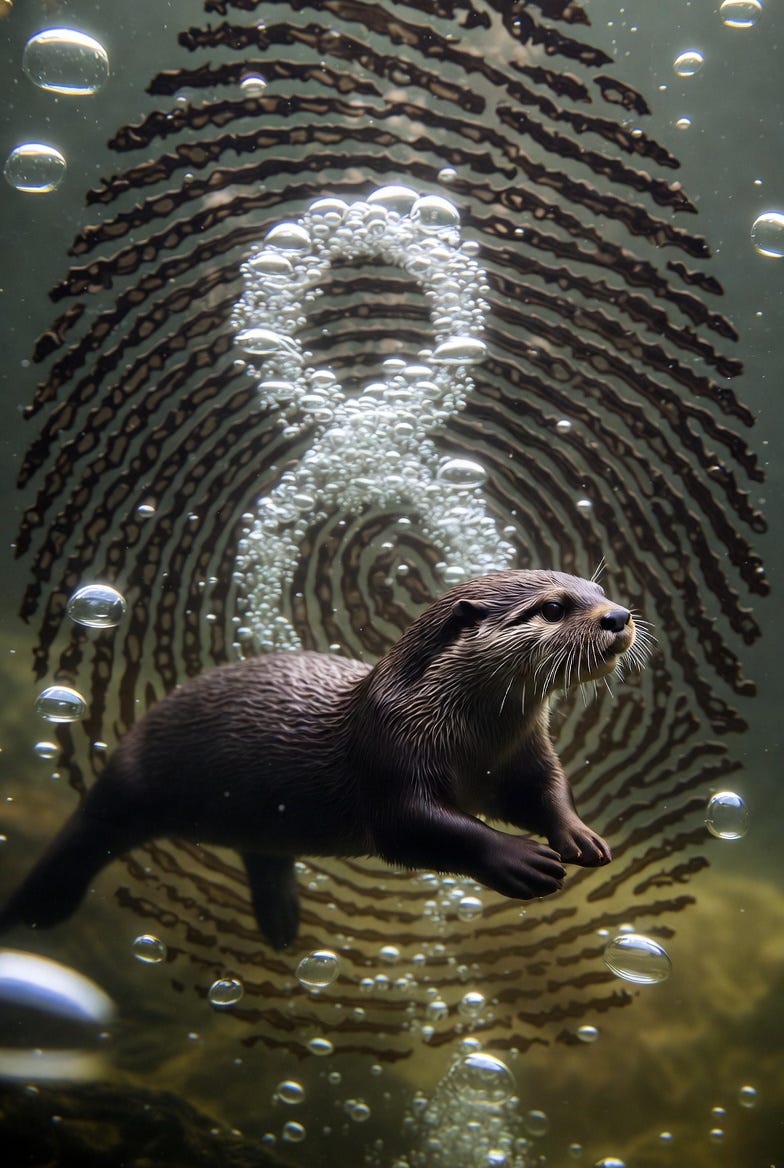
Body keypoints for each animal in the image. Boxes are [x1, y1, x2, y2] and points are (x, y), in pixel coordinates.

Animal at [0, 570, 646, 949]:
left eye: (598, 592)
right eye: (554, 608)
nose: (619, 616)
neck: (471, 738)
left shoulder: (524, 755)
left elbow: (546, 790)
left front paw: (579, 835)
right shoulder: (390, 752)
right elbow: (417, 825)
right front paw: (519, 859)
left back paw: (283, 923)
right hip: (130, 781)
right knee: (89, 830)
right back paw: (36, 907)